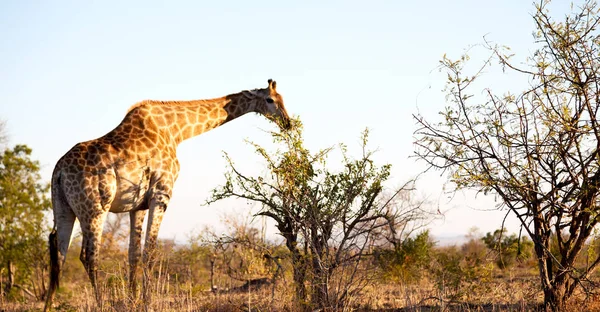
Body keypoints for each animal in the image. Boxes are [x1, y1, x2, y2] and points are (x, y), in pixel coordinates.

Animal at [42, 79, 290, 310]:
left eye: (283, 98)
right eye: (270, 100)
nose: (287, 123)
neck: (176, 131)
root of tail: (59, 171)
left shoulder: (137, 205)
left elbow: (134, 254)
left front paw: (133, 300)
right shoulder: (162, 193)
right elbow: (150, 252)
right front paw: (146, 302)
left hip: (63, 208)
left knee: (59, 255)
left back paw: (49, 306)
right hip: (95, 208)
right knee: (88, 255)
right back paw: (101, 304)